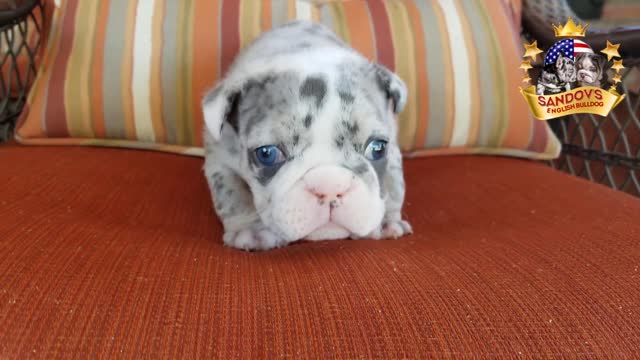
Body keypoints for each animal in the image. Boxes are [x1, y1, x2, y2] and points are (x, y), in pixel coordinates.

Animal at [200, 19, 412, 250]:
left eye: (377, 148)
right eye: (267, 154)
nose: (330, 186)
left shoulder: (393, 153)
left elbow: (394, 188)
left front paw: (386, 222)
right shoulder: (220, 161)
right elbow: (233, 197)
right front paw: (251, 231)